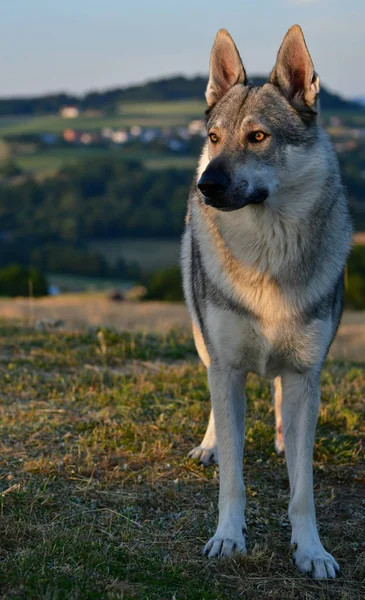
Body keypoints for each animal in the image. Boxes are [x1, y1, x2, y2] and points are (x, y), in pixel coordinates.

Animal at [181, 24, 352, 580]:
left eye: (258, 137)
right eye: (216, 138)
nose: (206, 183)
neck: (267, 259)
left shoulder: (305, 370)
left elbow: (303, 490)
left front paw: (312, 551)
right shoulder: (228, 368)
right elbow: (233, 479)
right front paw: (228, 538)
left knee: (281, 399)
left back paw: (280, 435)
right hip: (204, 340)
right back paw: (210, 446)